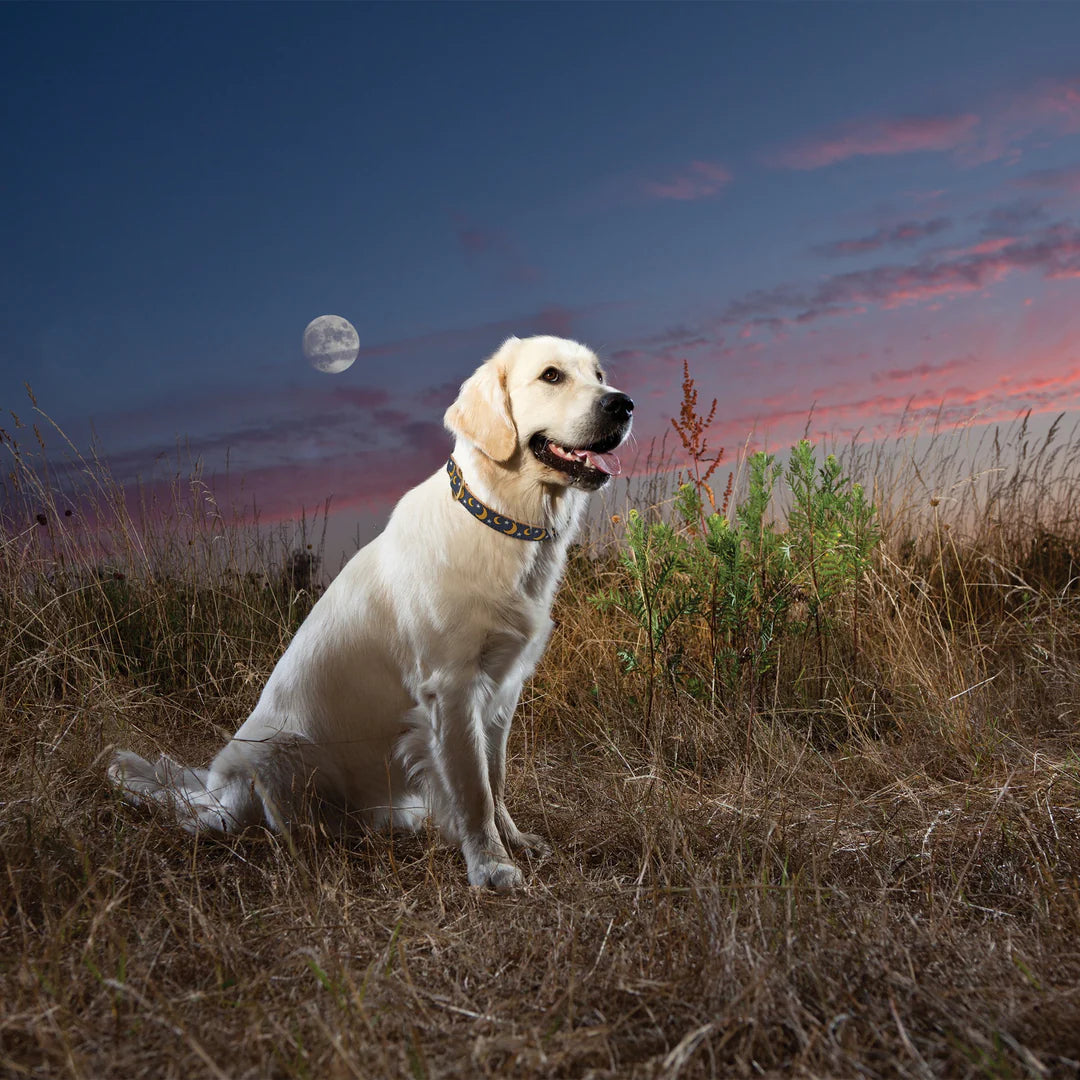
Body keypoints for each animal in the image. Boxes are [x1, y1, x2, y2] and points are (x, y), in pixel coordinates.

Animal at [107, 336, 630, 894]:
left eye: (598, 374)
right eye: (551, 375)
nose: (623, 405)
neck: (505, 523)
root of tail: (212, 794)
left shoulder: (503, 687)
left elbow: (495, 777)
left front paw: (513, 842)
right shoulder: (452, 688)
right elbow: (474, 791)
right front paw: (490, 866)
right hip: (275, 753)